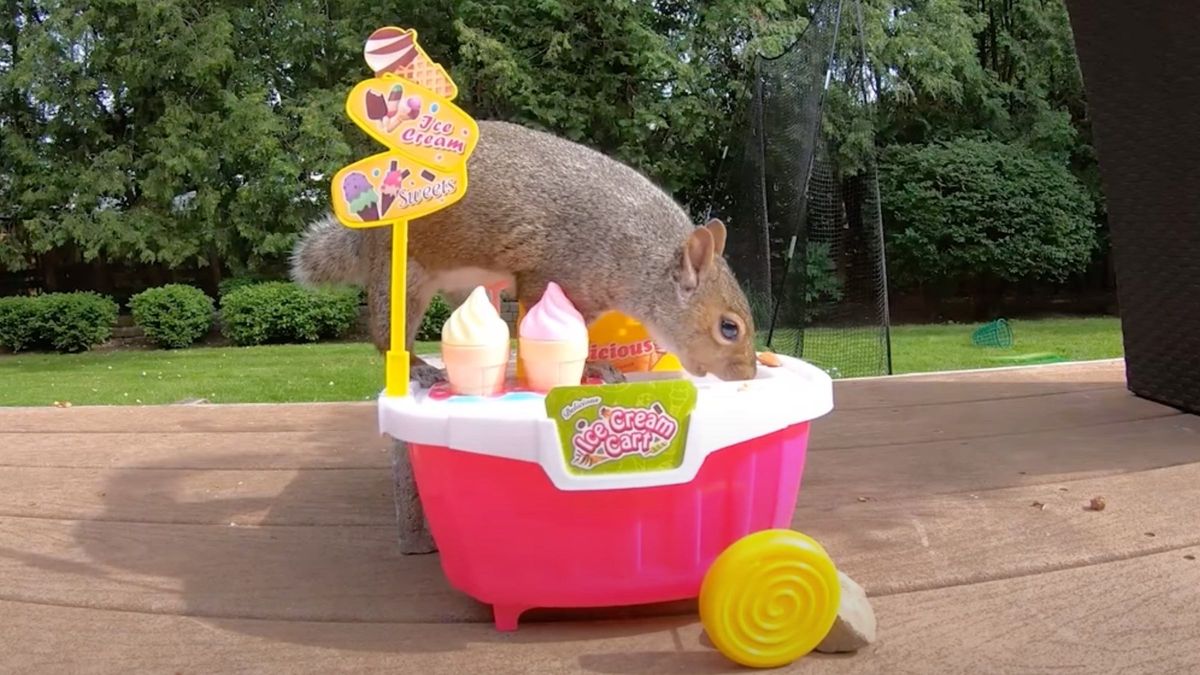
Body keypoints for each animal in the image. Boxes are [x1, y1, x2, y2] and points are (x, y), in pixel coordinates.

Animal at [291, 120, 758, 386]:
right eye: (728, 327)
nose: (749, 374)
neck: (636, 252)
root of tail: (368, 237)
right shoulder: (552, 273)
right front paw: (588, 370)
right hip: (401, 274)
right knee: (387, 338)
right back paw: (418, 367)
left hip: (468, 286)